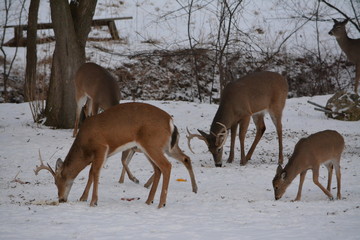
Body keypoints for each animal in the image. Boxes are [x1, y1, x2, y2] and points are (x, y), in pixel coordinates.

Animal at [33, 101, 197, 208]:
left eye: (56, 181)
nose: (61, 199)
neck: (84, 147)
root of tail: (171, 122)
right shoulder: (101, 154)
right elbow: (91, 173)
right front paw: (83, 198)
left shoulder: (101, 147)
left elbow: (95, 172)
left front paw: (93, 201)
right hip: (161, 148)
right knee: (173, 163)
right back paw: (150, 200)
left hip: (152, 145)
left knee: (166, 166)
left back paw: (161, 203)